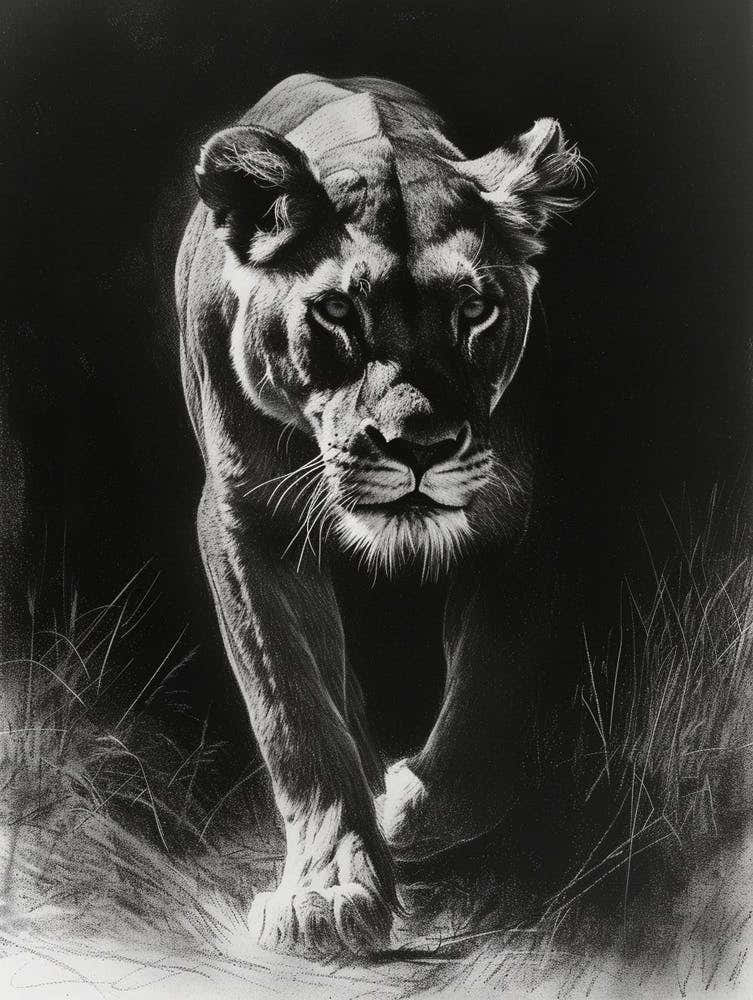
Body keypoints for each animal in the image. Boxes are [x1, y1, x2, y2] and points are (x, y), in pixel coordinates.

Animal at [175, 73, 586, 957]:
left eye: (476, 310)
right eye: (335, 312)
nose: (420, 446)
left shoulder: (518, 515)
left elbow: (486, 705)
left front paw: (407, 812)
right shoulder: (244, 521)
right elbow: (295, 712)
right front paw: (327, 893)